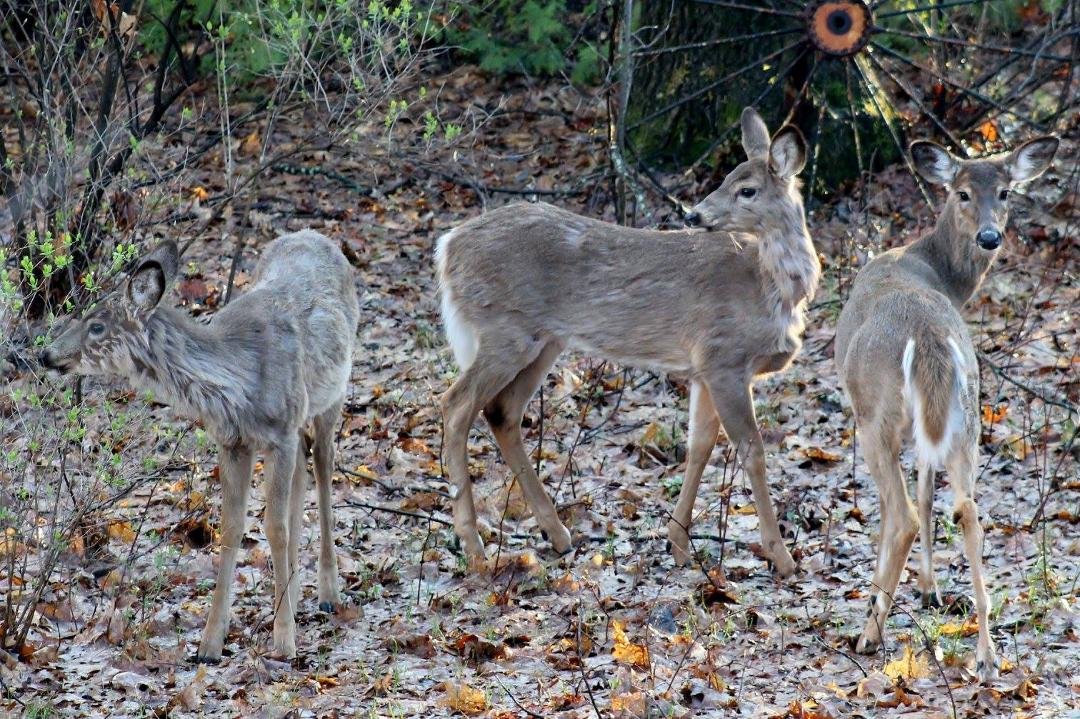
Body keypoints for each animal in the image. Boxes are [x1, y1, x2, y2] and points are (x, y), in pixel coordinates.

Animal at [41, 230, 359, 662]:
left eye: (97, 326)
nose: (46, 354)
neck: (239, 381)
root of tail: (317, 236)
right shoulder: (234, 440)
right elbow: (232, 527)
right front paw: (211, 643)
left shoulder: (279, 431)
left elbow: (273, 527)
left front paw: (284, 641)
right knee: (303, 471)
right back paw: (293, 593)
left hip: (333, 393)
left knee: (324, 464)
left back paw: (328, 593)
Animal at [436, 107, 819, 576]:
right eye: (728, 180)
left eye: (746, 188)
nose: (693, 215)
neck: (769, 286)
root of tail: (447, 247)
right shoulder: (724, 357)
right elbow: (753, 452)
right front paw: (781, 557)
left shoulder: (704, 368)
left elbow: (698, 447)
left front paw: (678, 543)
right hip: (504, 331)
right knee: (456, 405)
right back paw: (474, 545)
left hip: (544, 340)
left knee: (501, 412)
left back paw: (557, 534)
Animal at [834, 135, 1058, 681]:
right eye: (962, 192)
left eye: (1005, 191)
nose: (990, 236)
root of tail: (930, 337)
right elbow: (928, 486)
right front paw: (930, 588)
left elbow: (904, 503)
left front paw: (915, 590)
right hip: (967, 413)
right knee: (968, 508)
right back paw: (987, 654)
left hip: (876, 414)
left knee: (902, 515)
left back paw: (869, 633)